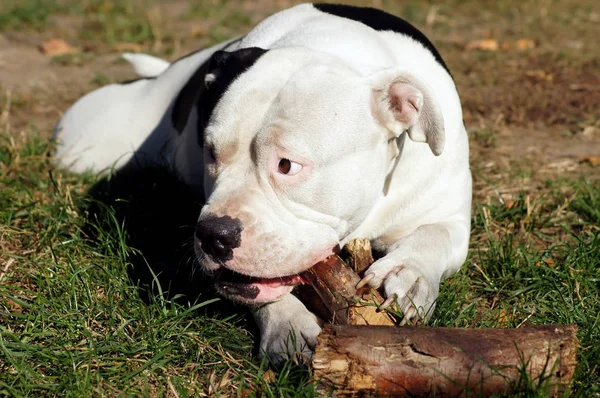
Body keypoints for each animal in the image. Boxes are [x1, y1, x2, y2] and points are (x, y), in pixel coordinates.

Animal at [52, 3, 474, 364]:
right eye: (210, 151)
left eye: (287, 165)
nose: (214, 235)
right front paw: (288, 324)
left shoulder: (450, 214)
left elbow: (434, 234)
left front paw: (408, 272)